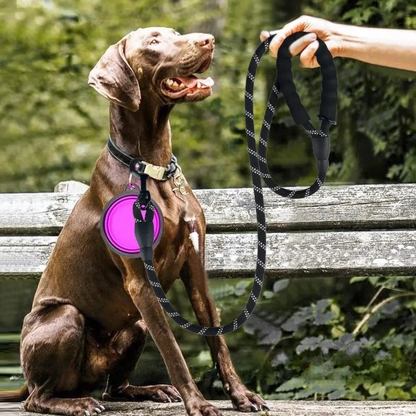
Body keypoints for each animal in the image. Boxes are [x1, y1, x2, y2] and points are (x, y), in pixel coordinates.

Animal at [0, 27, 266, 414]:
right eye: (154, 41)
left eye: (175, 33)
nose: (208, 40)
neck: (153, 167)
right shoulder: (141, 282)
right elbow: (173, 351)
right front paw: (199, 404)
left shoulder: (195, 269)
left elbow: (218, 340)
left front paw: (241, 395)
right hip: (65, 317)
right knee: (38, 398)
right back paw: (76, 403)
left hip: (135, 326)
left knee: (114, 388)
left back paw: (148, 390)